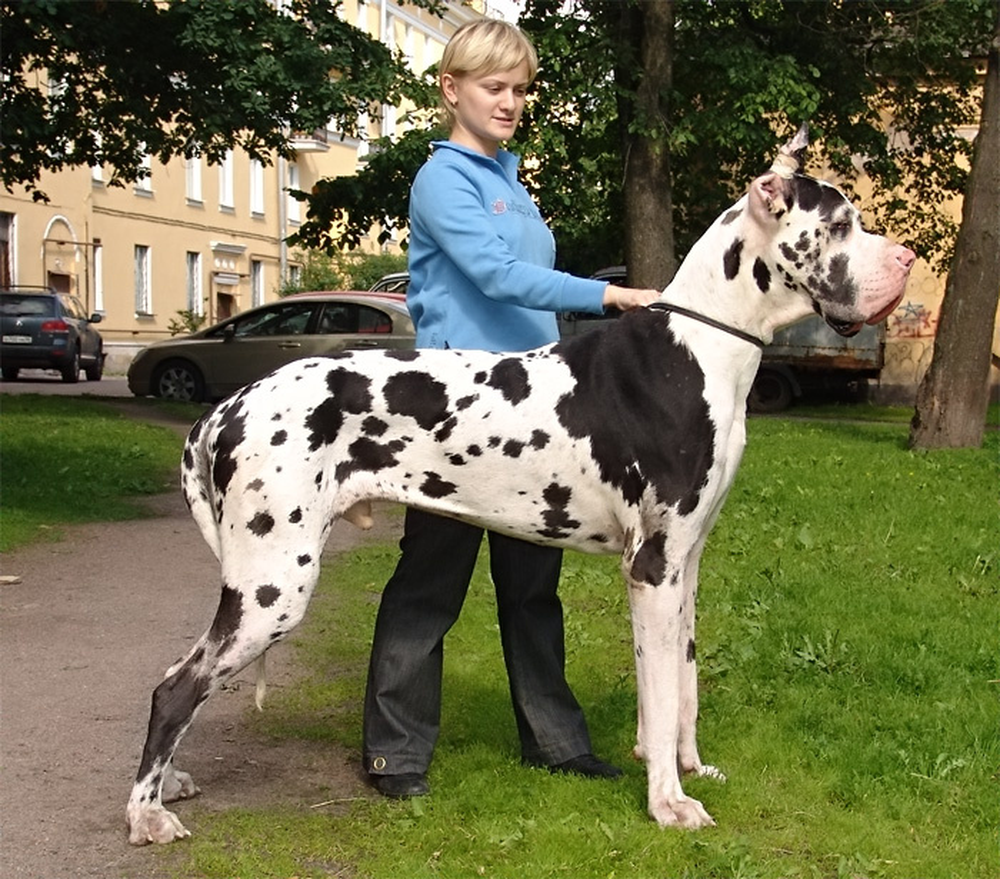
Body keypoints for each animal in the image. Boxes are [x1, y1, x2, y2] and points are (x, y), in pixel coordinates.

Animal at [125, 127, 916, 844]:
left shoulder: (684, 564)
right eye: (840, 224)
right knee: (174, 688)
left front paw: (688, 767)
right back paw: (146, 813)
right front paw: (668, 803)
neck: (699, 346)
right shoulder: (652, 568)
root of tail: (225, 408)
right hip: (273, 584)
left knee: (181, 675)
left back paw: (171, 783)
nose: (908, 257)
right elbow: (661, 694)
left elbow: (682, 684)